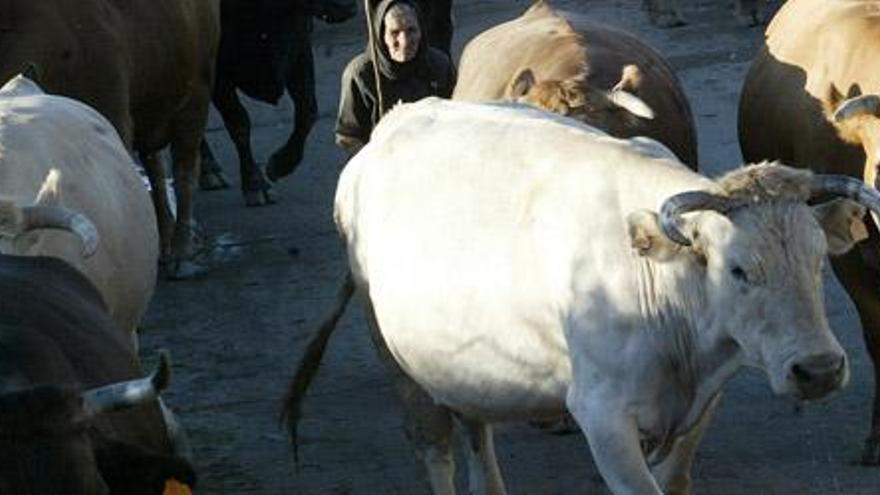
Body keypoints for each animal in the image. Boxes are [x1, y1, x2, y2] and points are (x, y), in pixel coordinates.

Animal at [200, 0, 358, 206]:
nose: (348, 7)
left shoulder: (299, 49)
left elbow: (307, 112)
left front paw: (280, 165)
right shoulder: (217, 72)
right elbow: (239, 123)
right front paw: (255, 184)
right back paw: (209, 170)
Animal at [288, 99, 872, 494]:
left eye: (819, 260)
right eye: (737, 269)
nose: (819, 370)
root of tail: (394, 121)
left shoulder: (702, 404)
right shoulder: (602, 415)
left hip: (459, 362)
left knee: (475, 428)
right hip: (395, 357)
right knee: (434, 448)